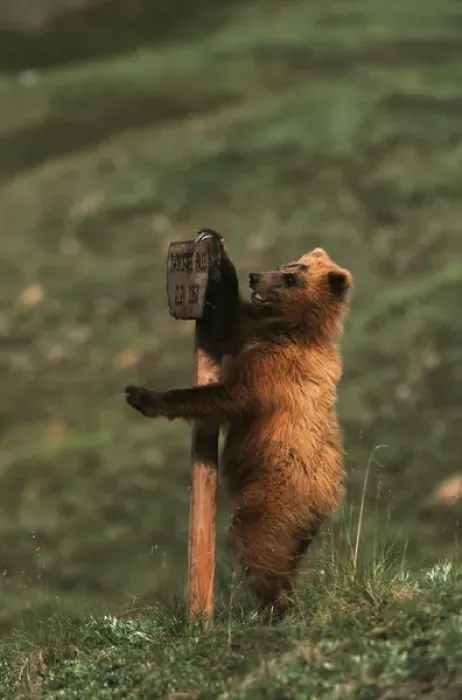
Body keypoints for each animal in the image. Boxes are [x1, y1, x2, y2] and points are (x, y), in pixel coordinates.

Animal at [124, 243, 353, 615]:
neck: (294, 330)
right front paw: (217, 257)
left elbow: (225, 397)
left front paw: (143, 396)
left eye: (292, 278)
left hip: (275, 495)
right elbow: (231, 323)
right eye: (286, 264)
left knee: (257, 540)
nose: (256, 276)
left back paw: (272, 601)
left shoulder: (274, 371)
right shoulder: (257, 332)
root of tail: (327, 501)